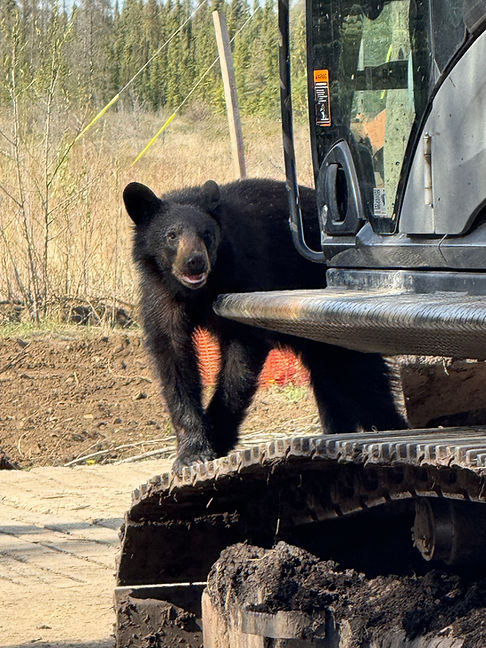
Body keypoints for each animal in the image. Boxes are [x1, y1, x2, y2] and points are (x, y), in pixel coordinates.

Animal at [123, 178, 406, 472]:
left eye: (207, 234)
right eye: (171, 235)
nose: (195, 262)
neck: (199, 290)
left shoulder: (244, 278)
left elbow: (241, 357)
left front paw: (217, 435)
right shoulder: (161, 297)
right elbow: (174, 360)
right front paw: (193, 452)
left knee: (363, 378)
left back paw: (389, 428)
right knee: (331, 376)